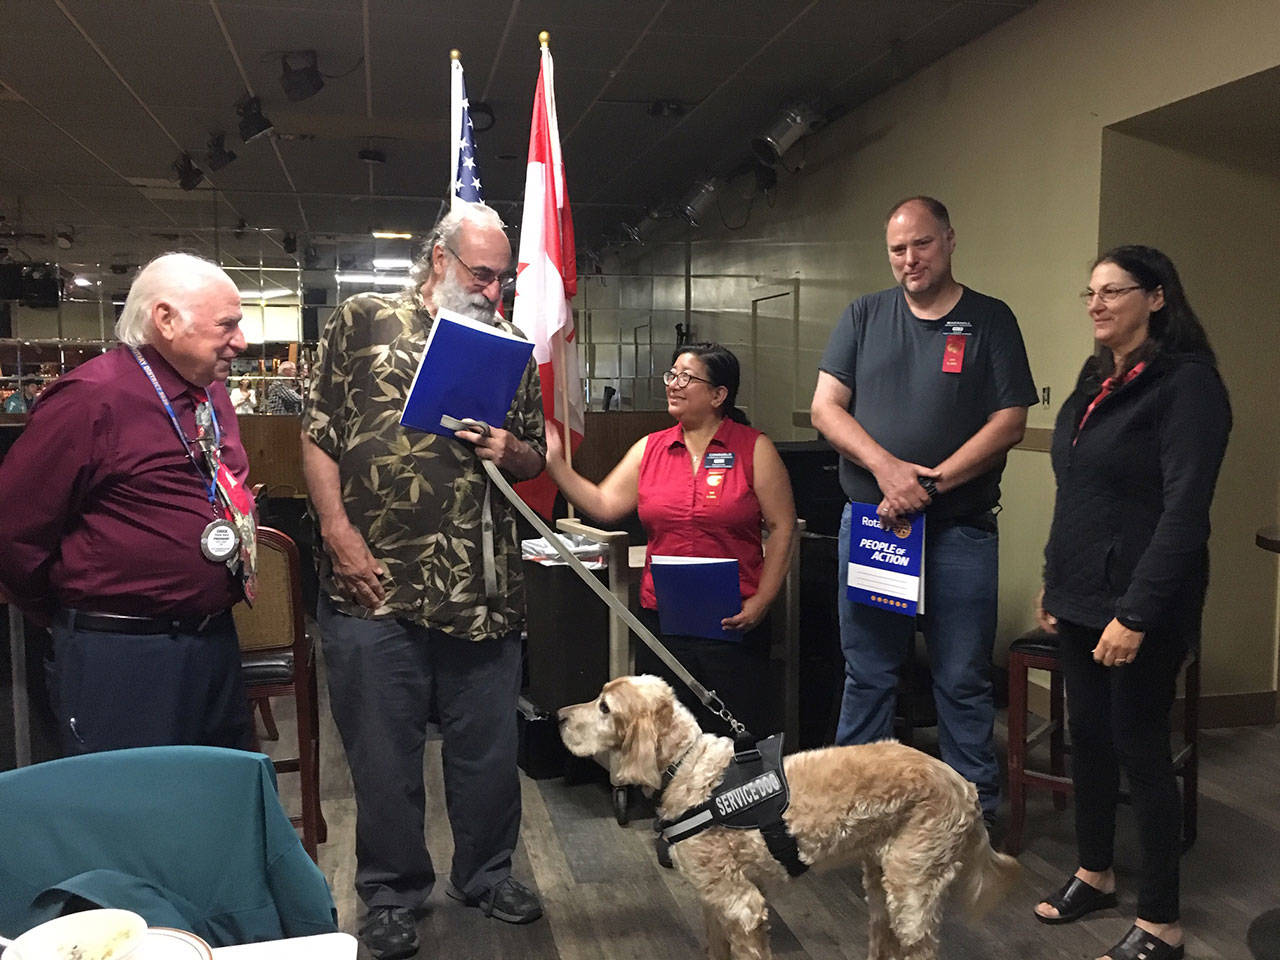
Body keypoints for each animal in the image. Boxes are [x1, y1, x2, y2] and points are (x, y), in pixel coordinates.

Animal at [560, 675, 1018, 960]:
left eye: (604, 707)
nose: (560, 716)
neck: (687, 767)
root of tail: (964, 786)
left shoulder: (741, 905)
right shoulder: (713, 901)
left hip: (912, 894)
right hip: (880, 887)